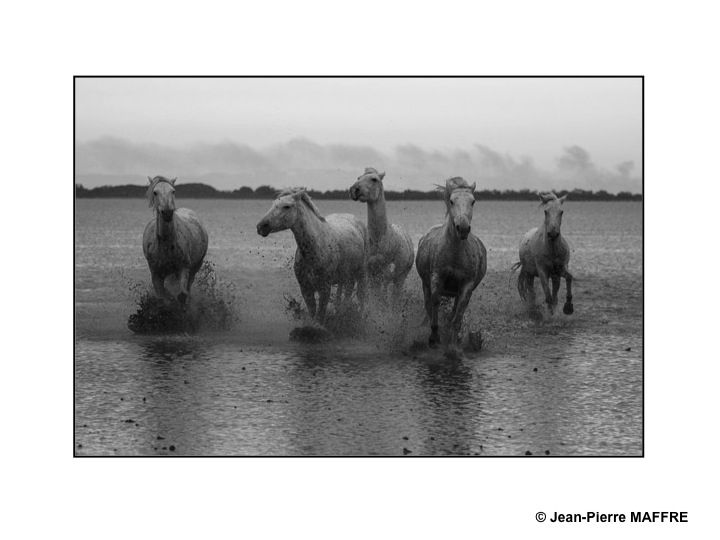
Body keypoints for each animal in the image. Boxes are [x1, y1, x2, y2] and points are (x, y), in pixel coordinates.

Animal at [141, 176, 208, 306]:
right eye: (155, 192)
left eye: (173, 191)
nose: (167, 213)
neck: (166, 245)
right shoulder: (156, 274)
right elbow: (162, 298)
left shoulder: (184, 268)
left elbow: (182, 295)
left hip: (196, 266)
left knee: (189, 285)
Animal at [255, 188, 366, 322]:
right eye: (273, 204)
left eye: (287, 206)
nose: (261, 226)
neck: (316, 248)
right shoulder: (306, 289)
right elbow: (313, 314)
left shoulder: (325, 289)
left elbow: (320, 316)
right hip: (345, 278)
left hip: (359, 274)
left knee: (358, 296)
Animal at [350, 167, 414, 306]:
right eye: (358, 178)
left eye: (374, 179)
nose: (354, 190)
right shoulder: (370, 275)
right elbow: (372, 299)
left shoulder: (386, 275)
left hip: (399, 277)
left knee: (395, 296)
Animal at [414, 175, 486, 348]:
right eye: (452, 201)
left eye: (473, 201)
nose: (463, 228)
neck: (455, 254)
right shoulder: (436, 278)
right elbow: (435, 303)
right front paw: (434, 338)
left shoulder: (466, 286)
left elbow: (458, 315)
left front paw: (453, 345)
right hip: (425, 284)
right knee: (428, 305)